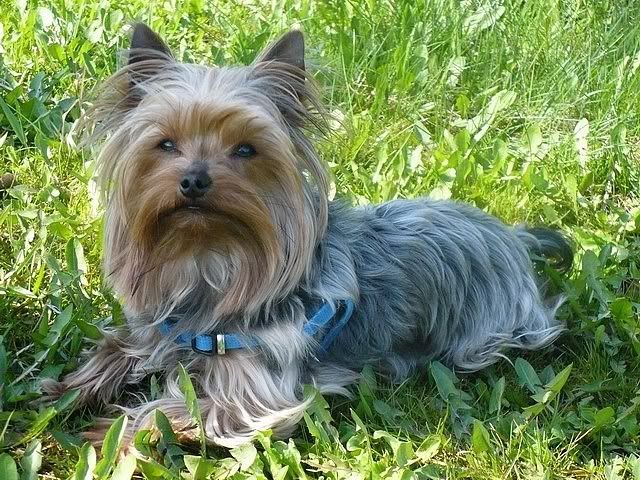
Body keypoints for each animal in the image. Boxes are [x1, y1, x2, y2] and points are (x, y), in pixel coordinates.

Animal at [43, 24, 572, 447]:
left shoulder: (255, 396)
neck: (211, 258)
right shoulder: (156, 329)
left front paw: (109, 433)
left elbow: (180, 410)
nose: (193, 180)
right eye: (165, 143)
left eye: (245, 149)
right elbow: (117, 346)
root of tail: (513, 237)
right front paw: (68, 389)